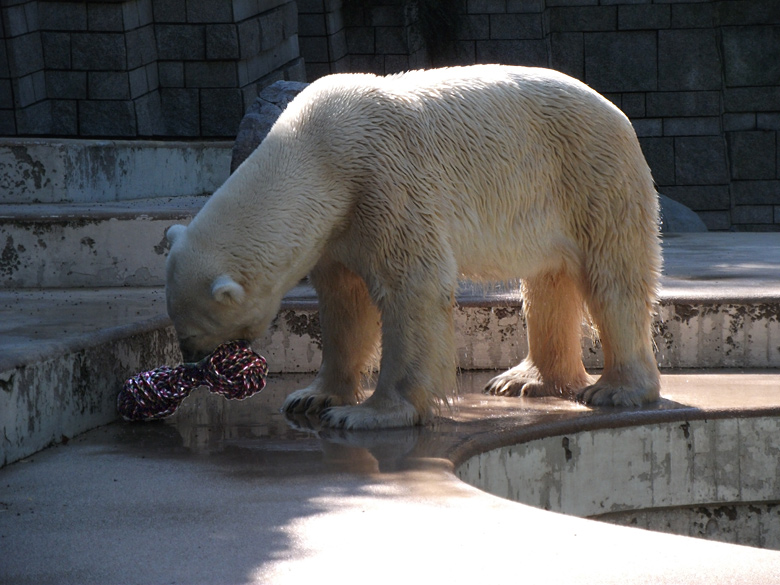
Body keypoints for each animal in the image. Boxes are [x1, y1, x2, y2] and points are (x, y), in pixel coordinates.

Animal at [166, 64, 664, 428]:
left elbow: (413, 286)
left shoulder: (383, 181)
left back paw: (614, 389)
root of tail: (616, 111)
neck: (318, 151)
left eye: (193, 332)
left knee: (611, 281)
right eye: (178, 329)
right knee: (547, 282)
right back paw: (525, 380)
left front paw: (367, 414)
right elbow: (344, 303)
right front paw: (310, 397)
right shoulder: (338, 227)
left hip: (591, 175)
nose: (190, 362)